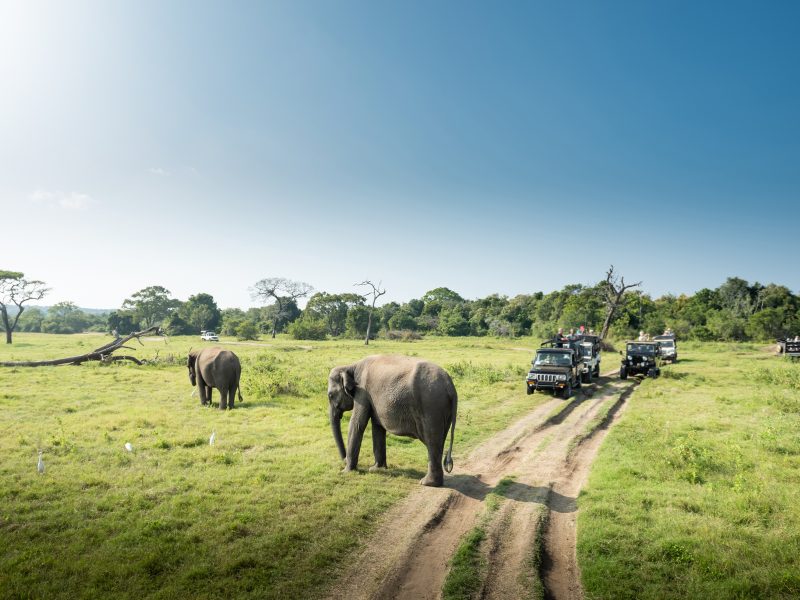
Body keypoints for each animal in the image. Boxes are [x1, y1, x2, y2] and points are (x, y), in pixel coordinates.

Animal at [327, 355, 458, 487]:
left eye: (330, 395)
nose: (344, 460)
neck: (350, 366)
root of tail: (450, 386)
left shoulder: (362, 391)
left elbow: (357, 423)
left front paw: (345, 472)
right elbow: (377, 426)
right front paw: (376, 469)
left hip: (431, 406)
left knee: (432, 441)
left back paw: (427, 483)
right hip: (442, 410)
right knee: (439, 442)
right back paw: (435, 482)